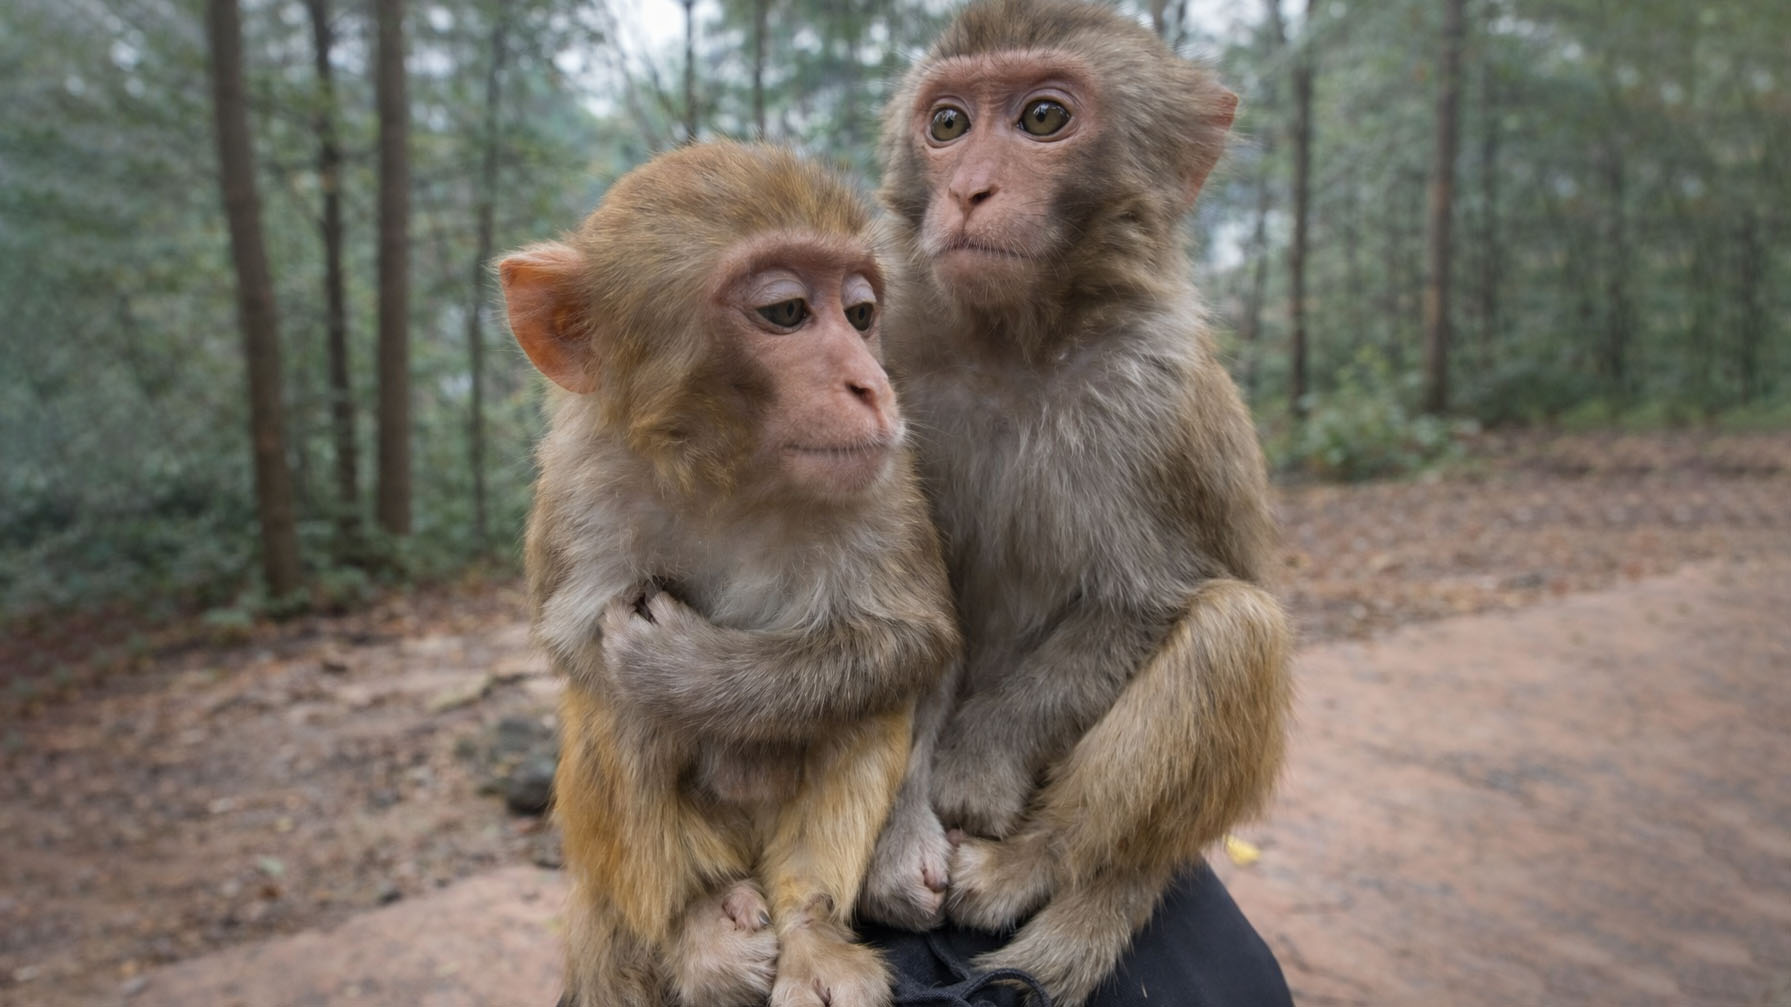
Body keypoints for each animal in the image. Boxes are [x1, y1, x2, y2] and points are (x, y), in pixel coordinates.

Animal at [500, 141, 959, 1007]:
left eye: (859, 314)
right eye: (785, 312)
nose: (870, 384)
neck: (729, 478)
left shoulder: (885, 479)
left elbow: (908, 640)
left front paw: (688, 669)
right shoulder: (578, 484)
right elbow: (579, 650)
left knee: (862, 708)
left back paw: (810, 928)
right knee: (617, 710)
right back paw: (701, 919)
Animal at [853, 2, 1295, 1003]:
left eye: (1044, 118)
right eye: (947, 124)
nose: (969, 189)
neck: (1014, 340)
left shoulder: (1151, 389)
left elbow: (1147, 598)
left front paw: (973, 768)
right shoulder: (880, 358)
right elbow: (894, 612)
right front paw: (897, 835)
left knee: (1237, 626)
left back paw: (1045, 862)